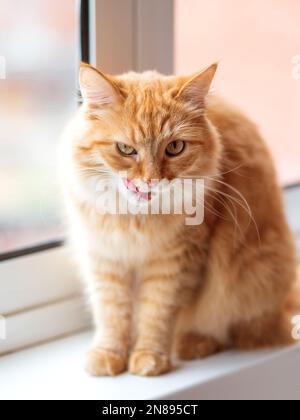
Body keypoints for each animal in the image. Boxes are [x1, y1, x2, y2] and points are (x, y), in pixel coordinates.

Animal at [62, 62, 298, 378]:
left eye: (175, 147)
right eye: (125, 150)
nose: (150, 180)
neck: (135, 220)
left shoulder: (175, 261)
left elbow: (157, 312)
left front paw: (149, 357)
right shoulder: (105, 259)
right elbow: (111, 313)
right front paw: (109, 355)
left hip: (251, 273)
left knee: (236, 330)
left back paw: (192, 344)